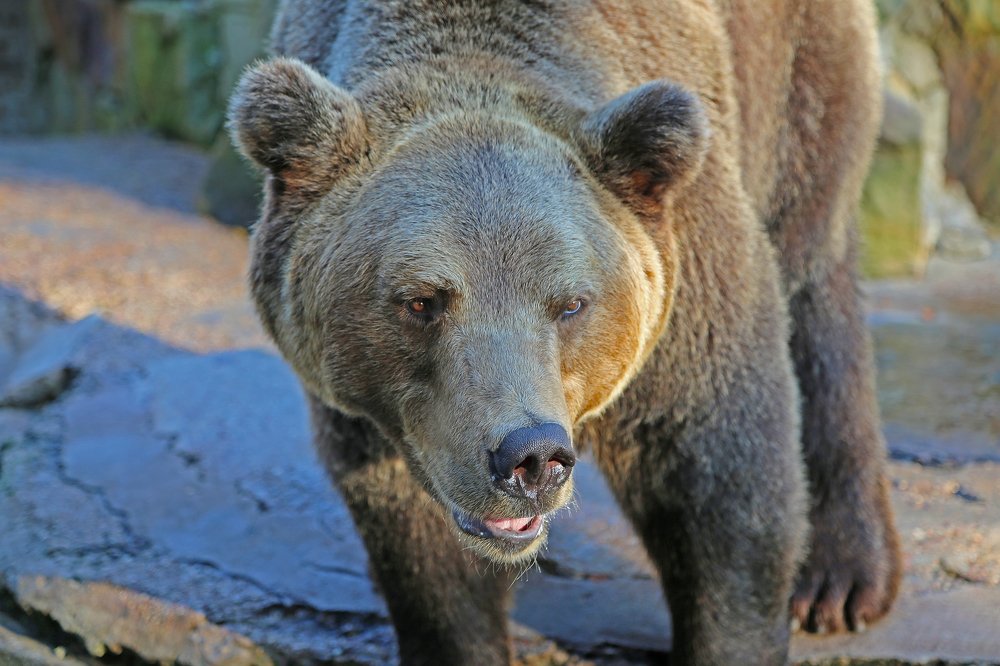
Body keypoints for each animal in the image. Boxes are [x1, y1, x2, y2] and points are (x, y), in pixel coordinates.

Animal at [228, 1, 902, 663]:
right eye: (421, 301)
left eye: (570, 303)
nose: (529, 458)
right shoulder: (395, 415)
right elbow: (423, 549)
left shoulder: (685, 287)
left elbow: (721, 480)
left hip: (794, 77)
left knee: (813, 267)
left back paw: (840, 580)